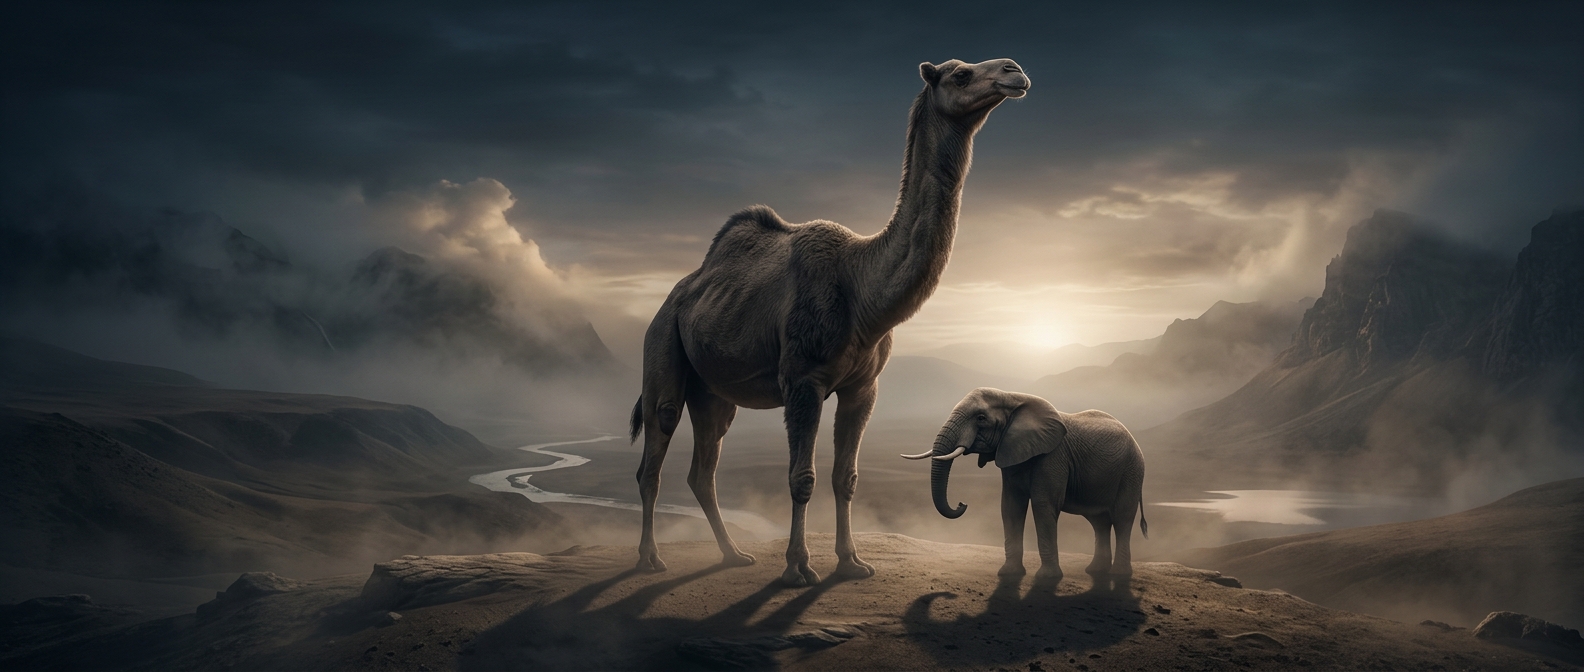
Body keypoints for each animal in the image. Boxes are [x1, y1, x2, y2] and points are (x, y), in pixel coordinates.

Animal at [630, 58, 1030, 586]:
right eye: (960, 74)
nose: (1014, 71)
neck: (861, 288)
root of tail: (674, 297)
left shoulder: (863, 387)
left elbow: (847, 477)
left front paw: (852, 562)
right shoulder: (802, 379)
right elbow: (803, 477)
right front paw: (799, 567)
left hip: (713, 390)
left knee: (703, 468)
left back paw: (733, 554)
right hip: (662, 344)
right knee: (655, 448)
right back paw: (650, 558)